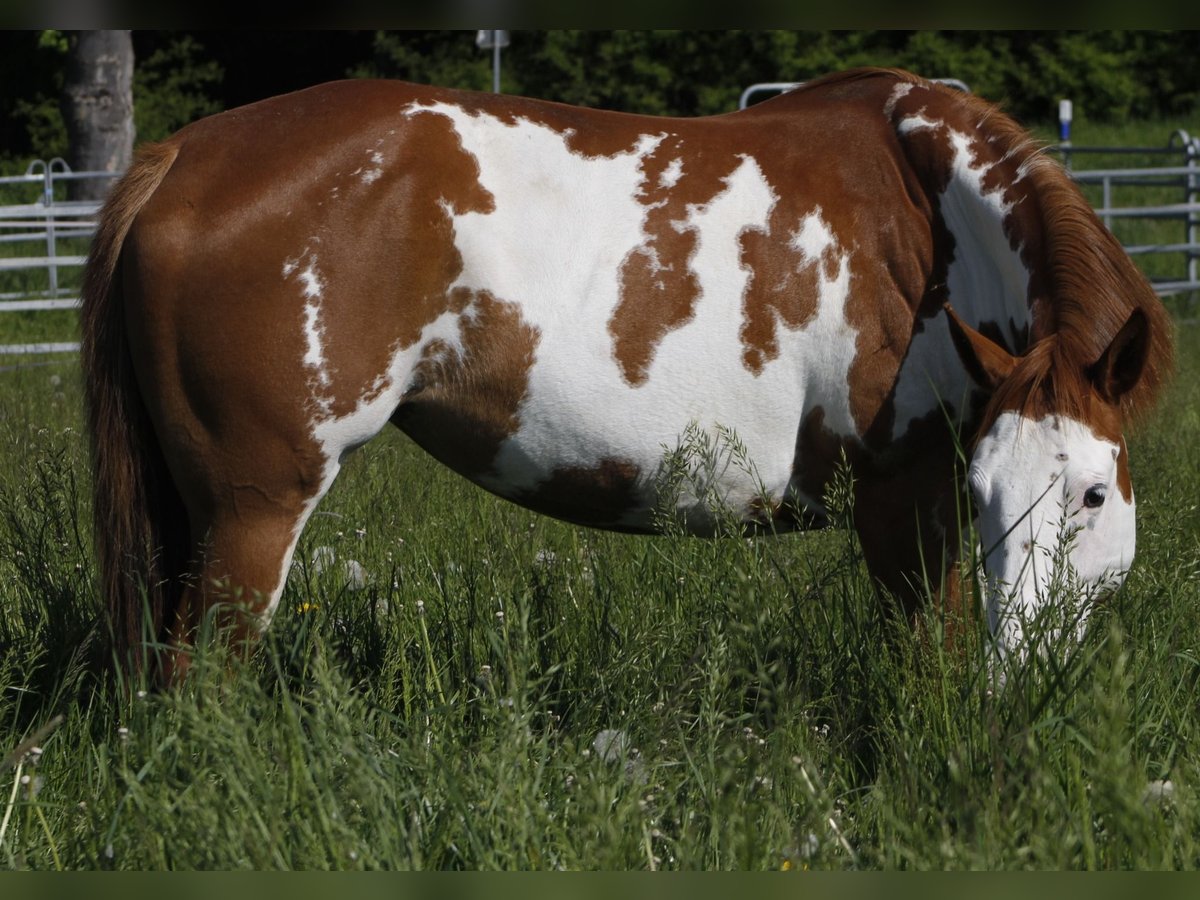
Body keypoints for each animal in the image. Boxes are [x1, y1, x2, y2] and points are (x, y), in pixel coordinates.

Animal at [79, 66, 1166, 681]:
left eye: (1089, 493)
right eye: (991, 493)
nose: (1022, 670)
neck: (924, 214)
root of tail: (181, 159)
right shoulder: (905, 495)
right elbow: (930, 657)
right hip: (254, 511)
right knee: (201, 683)